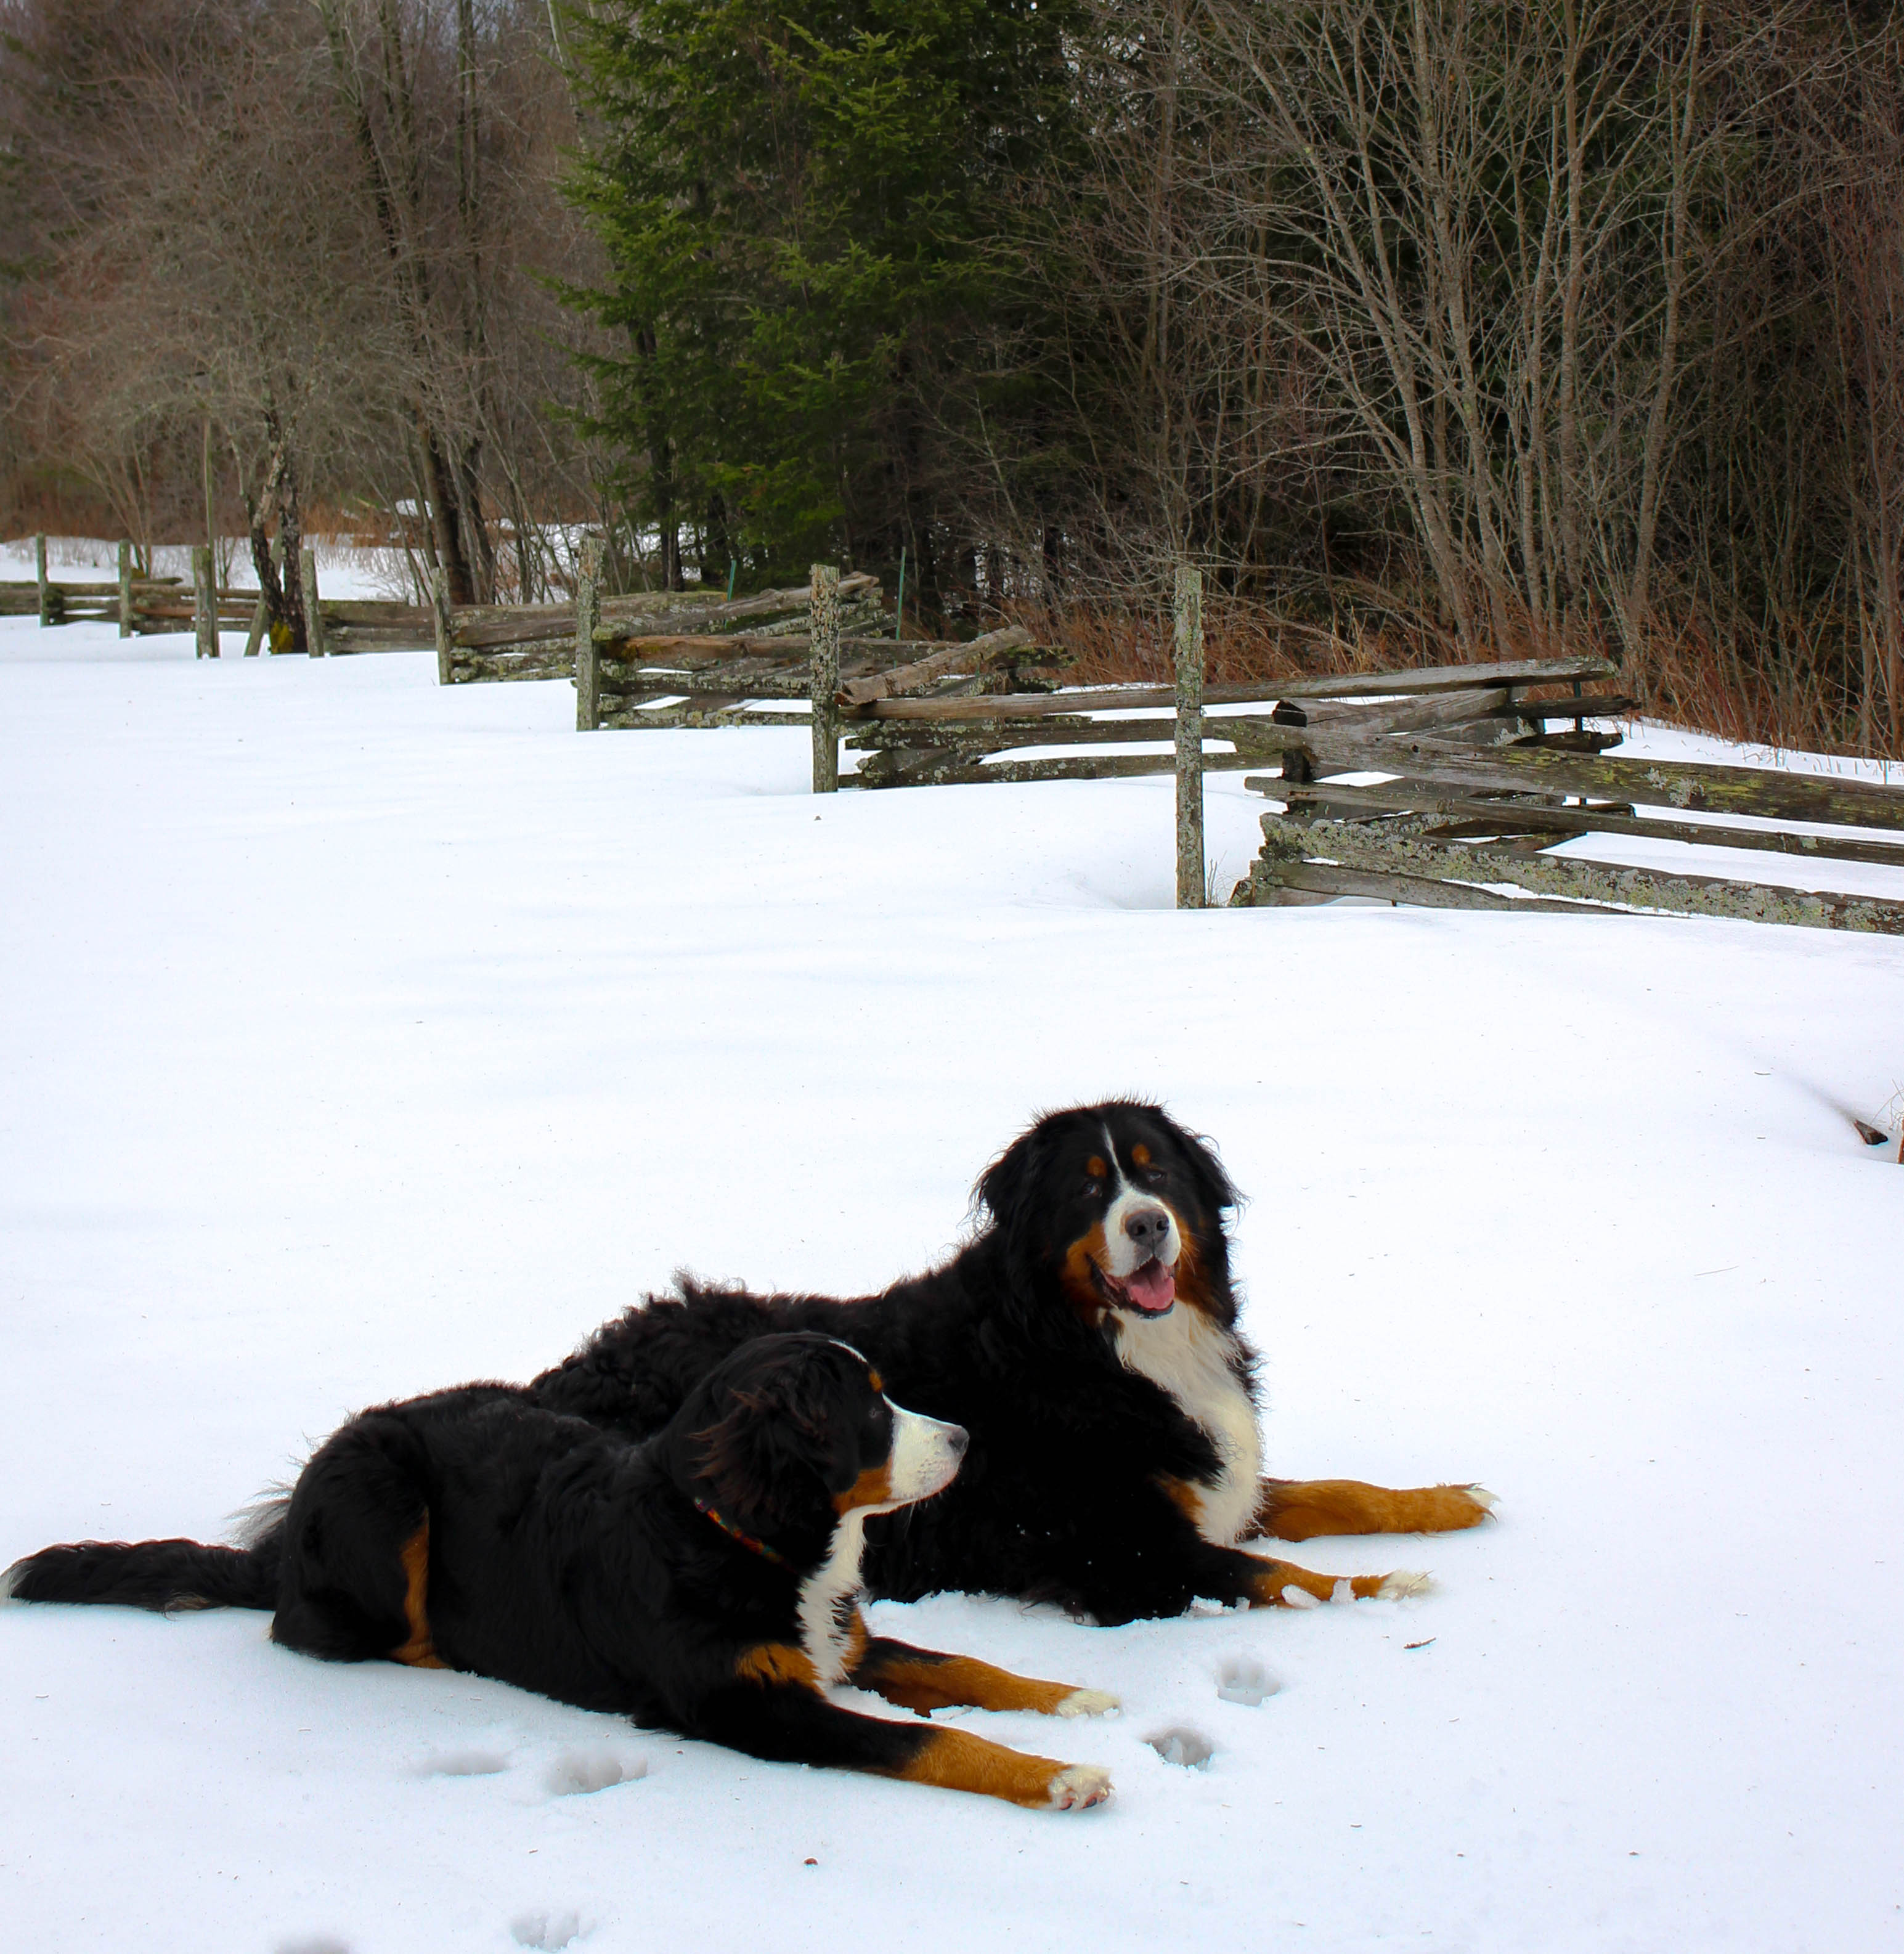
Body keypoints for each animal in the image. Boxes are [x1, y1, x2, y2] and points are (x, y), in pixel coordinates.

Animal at [7, 1336, 1118, 1805]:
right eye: (870, 1408)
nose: (967, 1437)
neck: (738, 1534)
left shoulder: (831, 1637)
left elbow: (961, 1669)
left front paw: (1077, 1701)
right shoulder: (749, 1702)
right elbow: (930, 1742)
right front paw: (1058, 1776)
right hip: (384, 1488)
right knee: (336, 1631)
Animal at [527, 1110, 1501, 1626]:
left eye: (1156, 1174)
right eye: (1088, 1187)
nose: (1149, 1224)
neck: (1096, 1348)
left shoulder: (1210, 1474)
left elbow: (1340, 1491)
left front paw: (1450, 1502)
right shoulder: (1125, 1547)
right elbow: (1282, 1576)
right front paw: (1388, 1587)